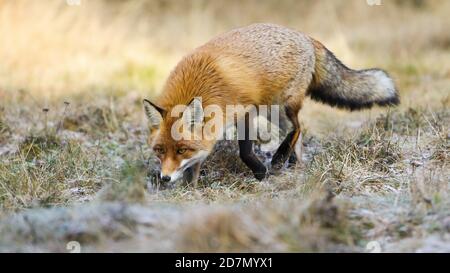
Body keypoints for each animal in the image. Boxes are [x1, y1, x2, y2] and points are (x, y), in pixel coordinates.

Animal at [142, 23, 400, 186]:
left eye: (181, 150)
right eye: (160, 150)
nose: (164, 178)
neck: (200, 83)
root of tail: (306, 36)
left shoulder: (245, 111)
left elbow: (245, 150)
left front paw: (260, 173)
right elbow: (195, 165)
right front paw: (191, 189)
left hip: (280, 105)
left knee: (297, 128)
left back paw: (279, 159)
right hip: (272, 112)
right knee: (298, 135)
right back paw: (294, 164)